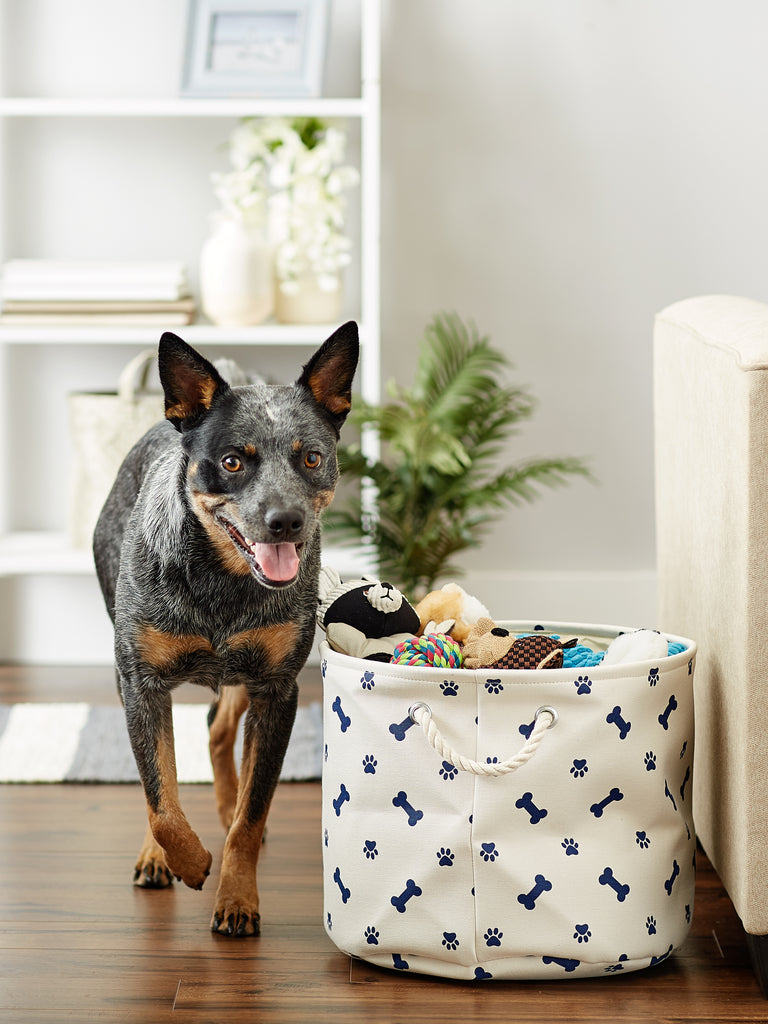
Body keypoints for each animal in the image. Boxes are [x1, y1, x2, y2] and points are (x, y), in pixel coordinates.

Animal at [94, 319, 360, 937]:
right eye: (234, 462)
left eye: (311, 458)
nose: (285, 521)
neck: (223, 585)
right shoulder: (140, 683)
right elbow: (161, 798)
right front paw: (188, 861)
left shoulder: (277, 691)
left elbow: (251, 810)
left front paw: (237, 896)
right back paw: (157, 858)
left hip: (244, 673)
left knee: (218, 726)